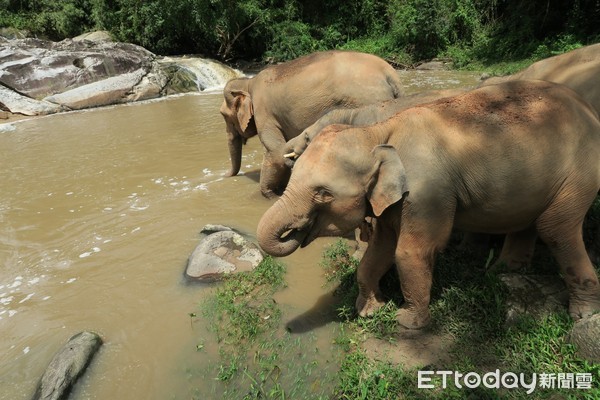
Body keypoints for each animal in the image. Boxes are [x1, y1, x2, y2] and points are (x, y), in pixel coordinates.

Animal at [220, 50, 404, 198]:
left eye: (224, 115)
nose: (225, 176)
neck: (248, 83)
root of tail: (390, 74)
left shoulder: (264, 111)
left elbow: (275, 149)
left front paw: (270, 195)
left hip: (366, 100)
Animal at [256, 79, 600, 330]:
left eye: (323, 193)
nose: (294, 231)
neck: (376, 131)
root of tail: (589, 108)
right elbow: (382, 247)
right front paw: (369, 310)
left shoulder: (428, 190)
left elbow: (411, 249)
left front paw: (406, 323)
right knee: (529, 222)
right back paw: (502, 271)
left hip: (579, 174)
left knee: (555, 228)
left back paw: (583, 314)